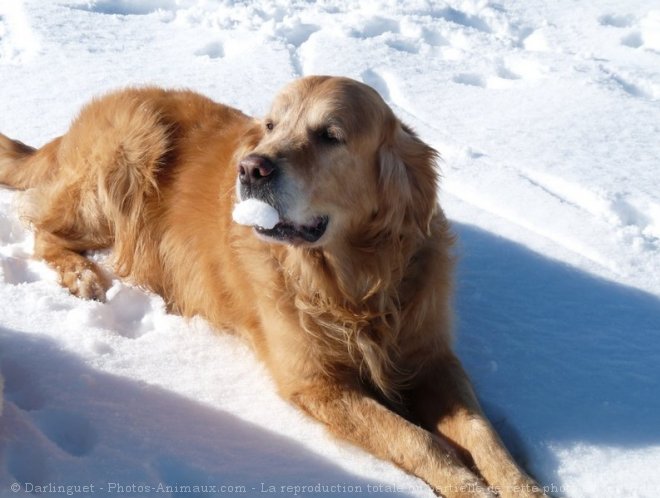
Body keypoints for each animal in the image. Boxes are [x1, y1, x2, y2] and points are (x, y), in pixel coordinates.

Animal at [0, 76, 548, 496]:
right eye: (270, 125)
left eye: (330, 134)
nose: (251, 167)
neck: (354, 284)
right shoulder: (315, 382)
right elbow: (416, 440)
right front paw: (466, 485)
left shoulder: (430, 356)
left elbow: (484, 434)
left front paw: (523, 487)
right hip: (132, 147)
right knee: (43, 229)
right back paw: (81, 273)